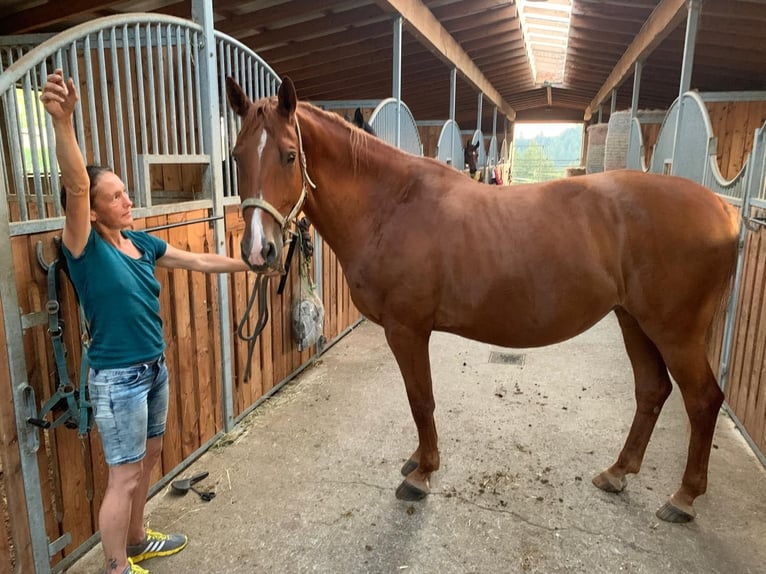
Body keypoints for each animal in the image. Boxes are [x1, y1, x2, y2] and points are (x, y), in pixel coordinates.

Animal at [228, 76, 744, 528]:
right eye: (236, 157)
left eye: (289, 155)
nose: (258, 251)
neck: (392, 206)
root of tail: (724, 210)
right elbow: (420, 400)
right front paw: (418, 461)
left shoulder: (407, 329)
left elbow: (421, 399)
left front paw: (422, 473)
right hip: (633, 320)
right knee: (652, 391)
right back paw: (617, 473)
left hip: (674, 332)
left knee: (702, 400)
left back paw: (683, 498)